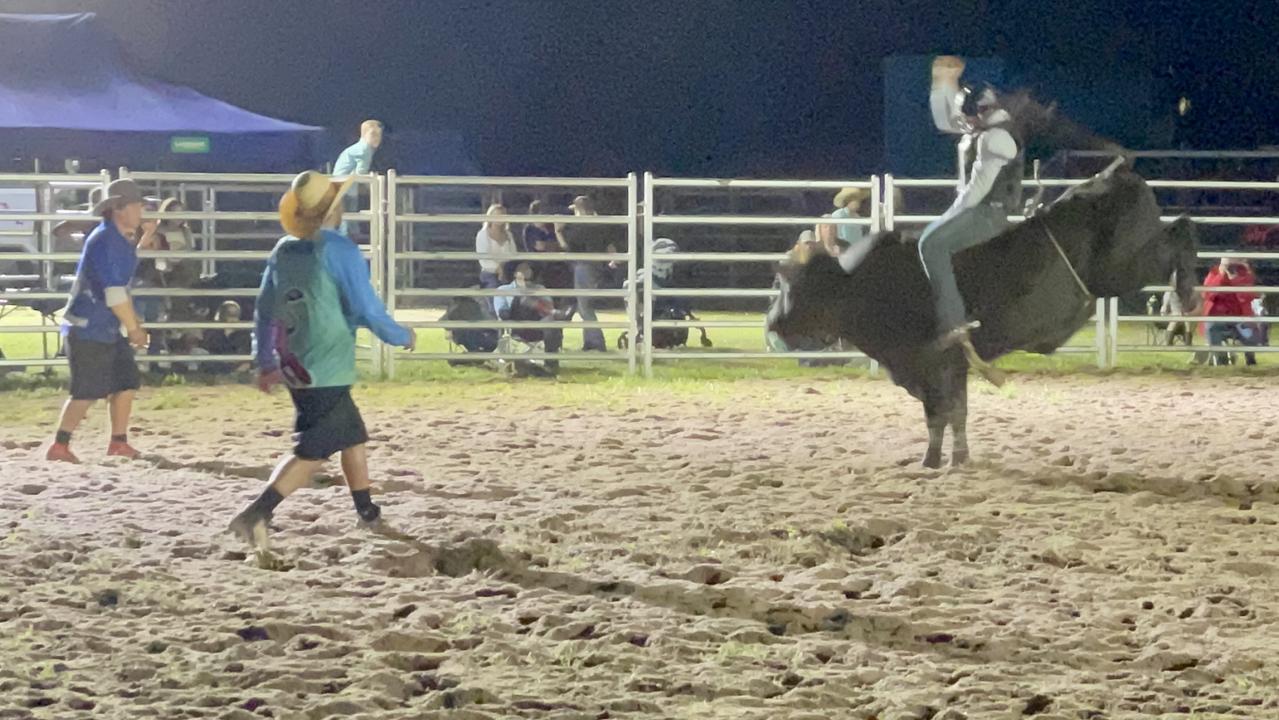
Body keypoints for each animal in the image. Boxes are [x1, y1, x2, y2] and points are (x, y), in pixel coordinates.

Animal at [767, 163, 1197, 470]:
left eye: (794, 288)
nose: (773, 324)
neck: (864, 286)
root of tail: (1110, 175)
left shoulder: (933, 364)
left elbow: (939, 413)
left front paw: (933, 461)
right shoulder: (950, 366)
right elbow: (954, 413)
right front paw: (954, 458)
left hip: (1123, 267)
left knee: (1179, 234)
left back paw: (1189, 288)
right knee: (1179, 227)